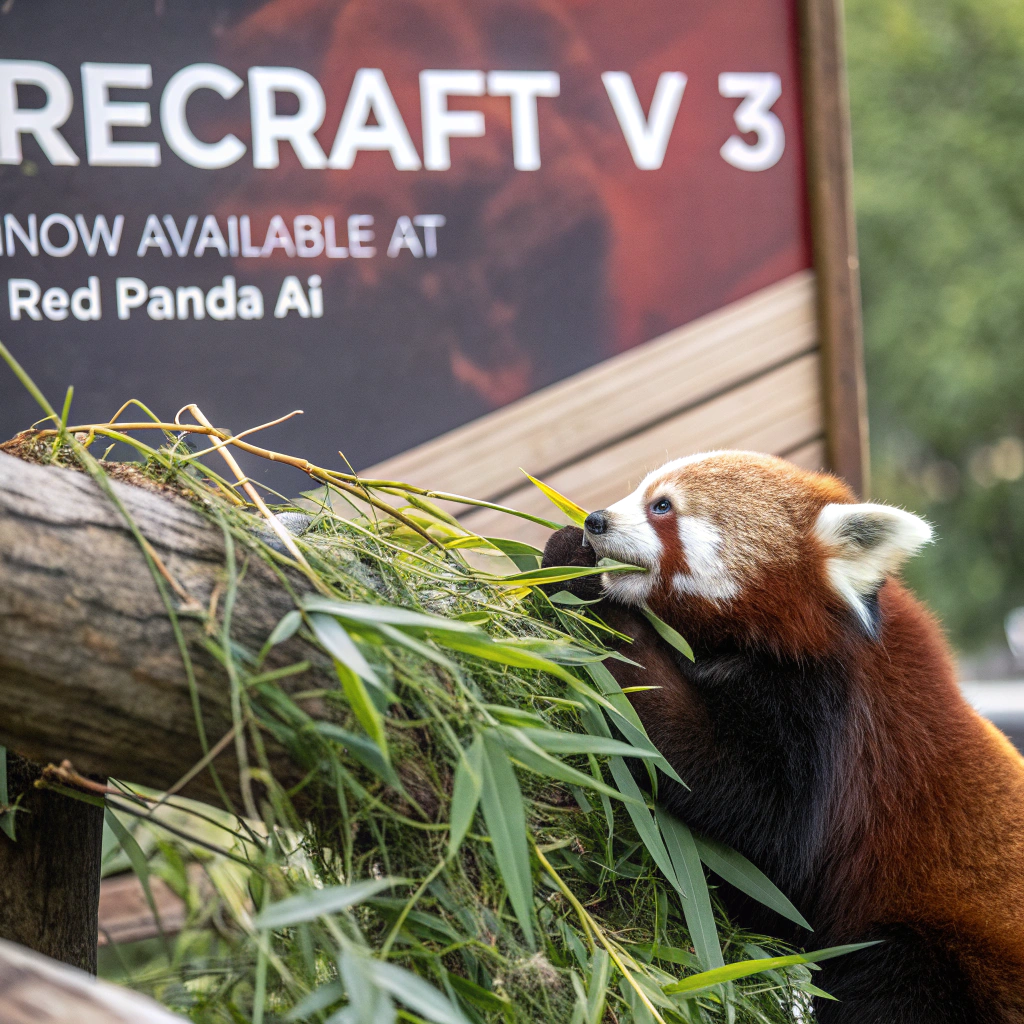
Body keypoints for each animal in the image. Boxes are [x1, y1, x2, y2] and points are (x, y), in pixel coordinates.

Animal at [541, 451, 1024, 1023]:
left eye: (662, 506)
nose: (595, 520)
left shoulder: (834, 721)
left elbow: (754, 817)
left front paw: (584, 584)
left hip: (936, 943)